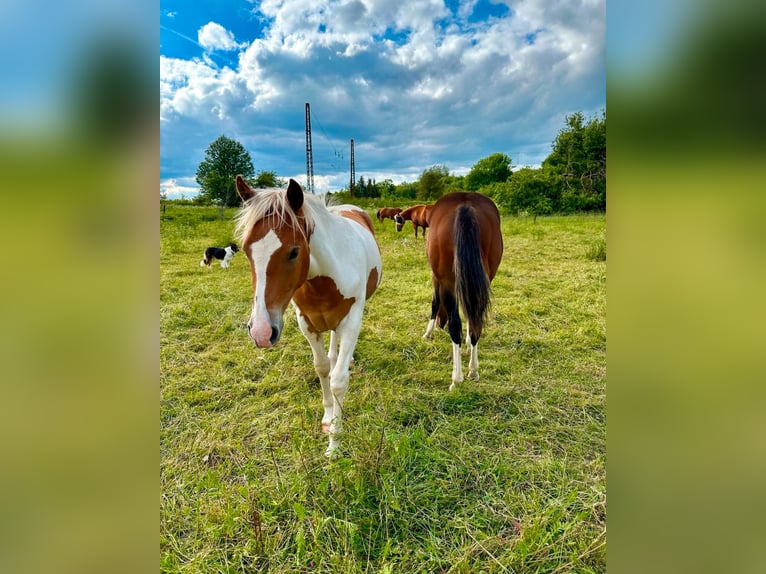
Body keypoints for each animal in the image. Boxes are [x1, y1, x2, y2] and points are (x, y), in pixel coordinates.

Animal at [426, 194, 504, 392]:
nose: (440, 324)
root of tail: (465, 205)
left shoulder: (438, 279)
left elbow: (435, 302)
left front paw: (428, 332)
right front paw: (468, 342)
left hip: (447, 281)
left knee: (455, 326)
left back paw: (457, 378)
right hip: (485, 275)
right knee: (477, 321)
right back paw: (473, 370)